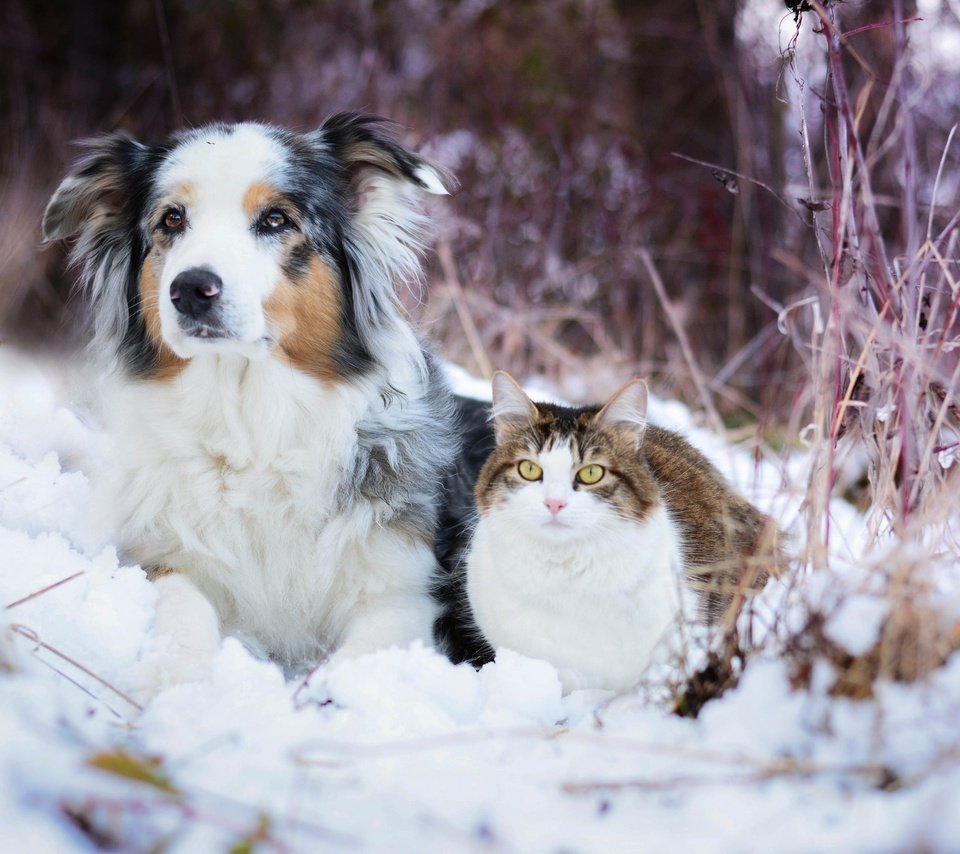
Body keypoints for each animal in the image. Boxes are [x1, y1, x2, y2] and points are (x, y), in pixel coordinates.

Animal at [43, 113, 464, 696]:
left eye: (275, 219)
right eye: (172, 218)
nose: (190, 289)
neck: (251, 422)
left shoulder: (403, 593)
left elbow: (363, 656)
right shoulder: (160, 555)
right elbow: (184, 605)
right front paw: (175, 673)